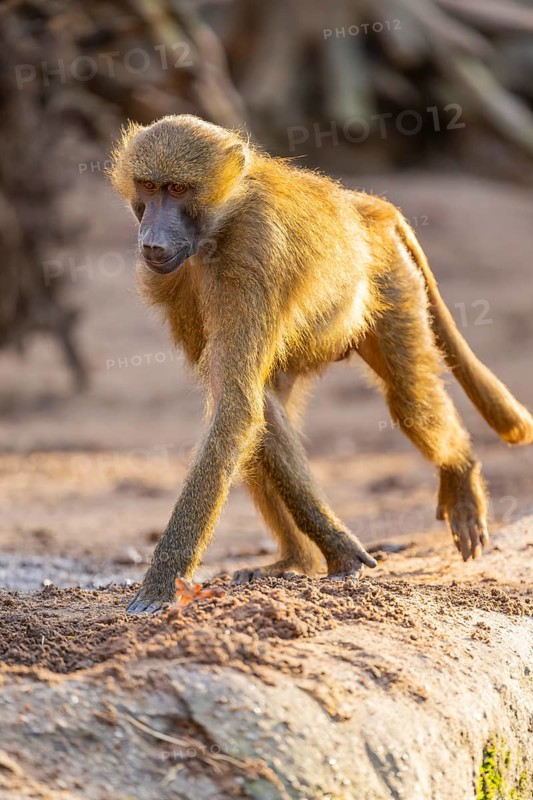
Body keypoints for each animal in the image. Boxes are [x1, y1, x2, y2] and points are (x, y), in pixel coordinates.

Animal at [109, 114, 533, 614]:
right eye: (148, 186)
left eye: (176, 189)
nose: (152, 243)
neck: (221, 224)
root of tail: (363, 207)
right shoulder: (176, 281)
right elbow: (246, 409)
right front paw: (338, 550)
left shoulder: (254, 257)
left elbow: (235, 407)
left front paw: (160, 584)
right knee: (266, 425)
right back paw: (296, 562)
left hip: (392, 282)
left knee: (409, 403)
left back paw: (462, 475)